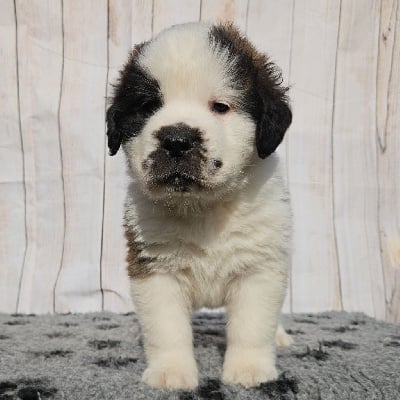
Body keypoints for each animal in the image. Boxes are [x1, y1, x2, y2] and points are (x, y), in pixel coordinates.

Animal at [106, 22, 294, 390]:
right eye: (148, 106)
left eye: (220, 107)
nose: (177, 140)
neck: (203, 208)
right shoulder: (155, 270)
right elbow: (166, 328)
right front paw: (171, 371)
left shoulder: (259, 269)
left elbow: (252, 326)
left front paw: (249, 369)